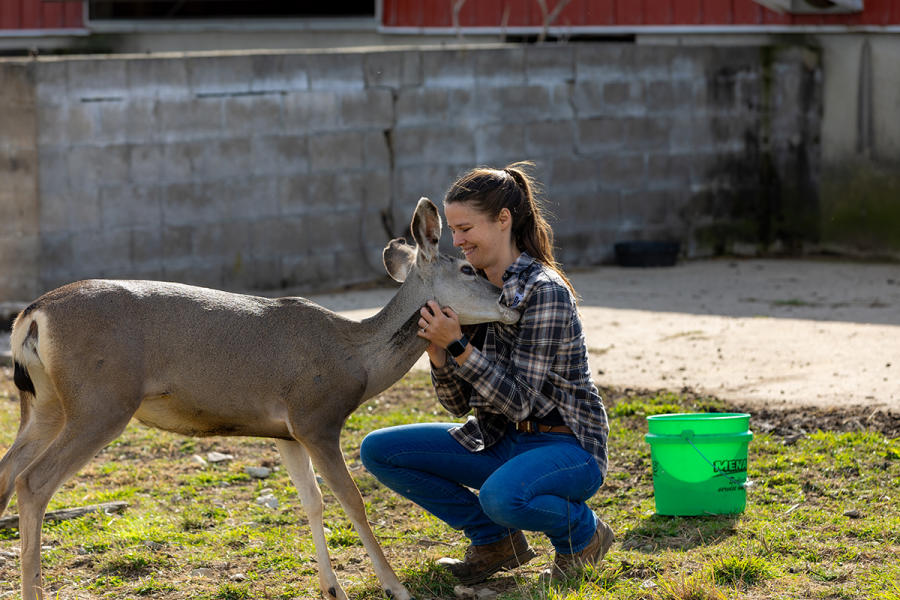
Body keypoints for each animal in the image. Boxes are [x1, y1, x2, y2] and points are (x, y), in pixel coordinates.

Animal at [1, 197, 520, 600]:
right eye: (468, 268)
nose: (510, 301)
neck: (354, 354)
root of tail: (32, 315)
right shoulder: (316, 417)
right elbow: (352, 501)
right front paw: (395, 586)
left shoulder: (284, 433)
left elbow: (312, 502)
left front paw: (332, 587)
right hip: (101, 400)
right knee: (33, 482)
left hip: (45, 404)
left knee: (7, 472)